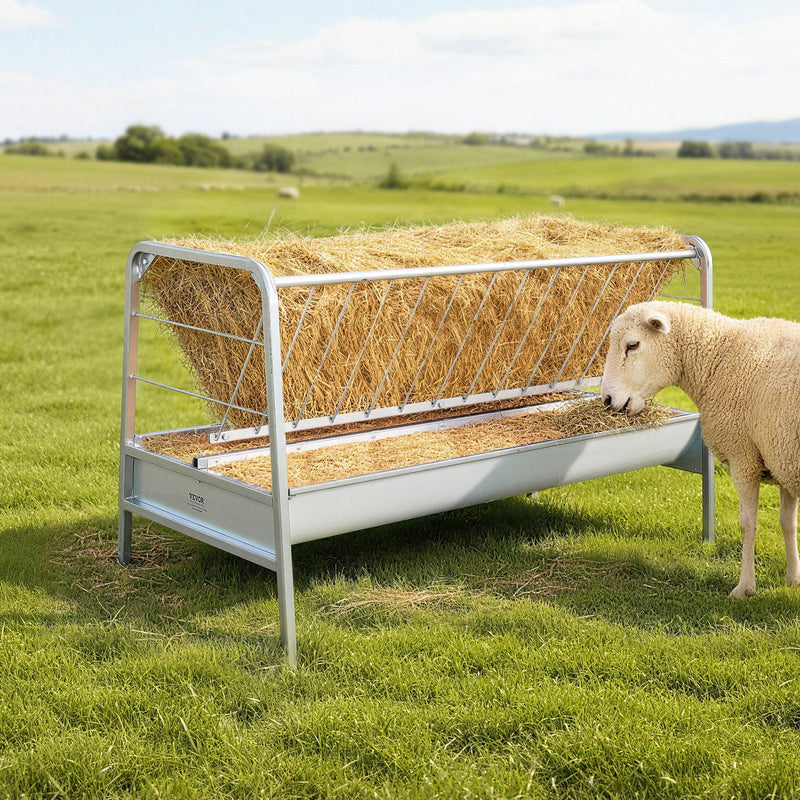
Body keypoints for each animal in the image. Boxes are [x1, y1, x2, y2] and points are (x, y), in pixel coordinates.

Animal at [600, 300, 800, 599]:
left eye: (632, 345)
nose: (607, 399)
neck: (717, 359)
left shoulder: (743, 456)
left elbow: (747, 524)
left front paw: (744, 588)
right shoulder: (779, 456)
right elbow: (787, 522)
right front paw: (793, 579)